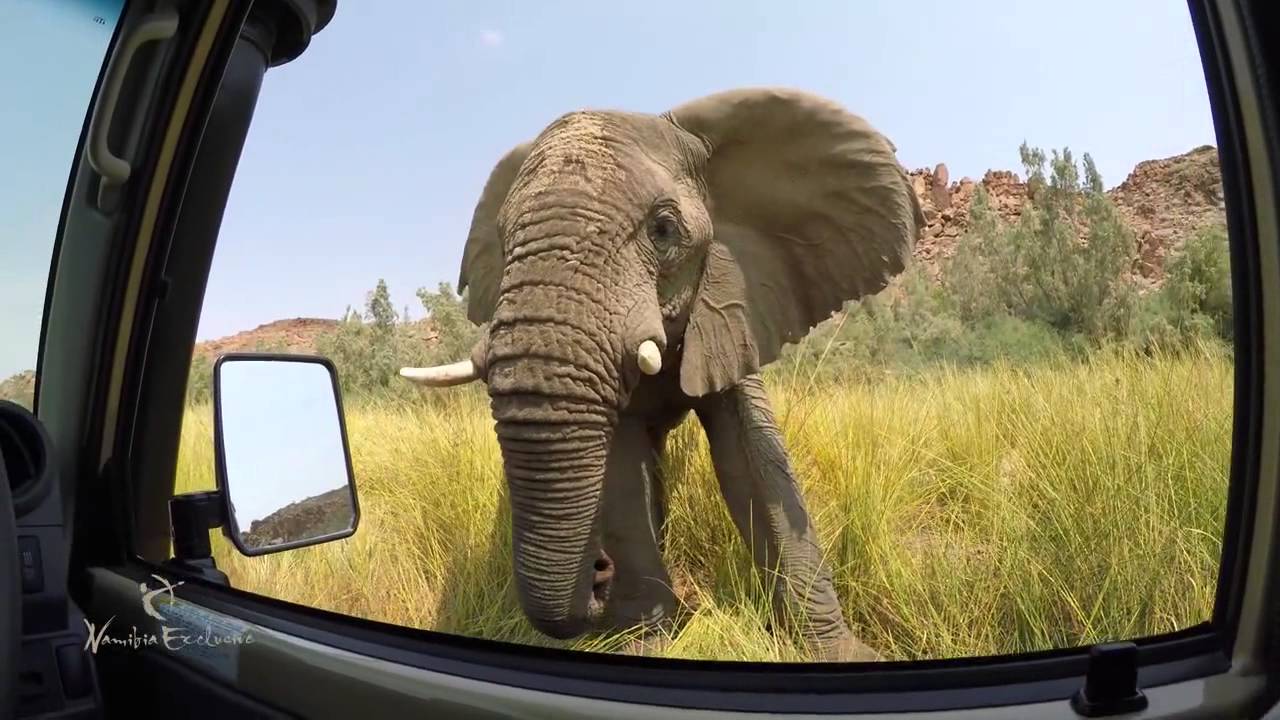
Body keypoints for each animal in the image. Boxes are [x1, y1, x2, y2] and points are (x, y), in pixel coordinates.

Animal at [400, 87, 925, 662]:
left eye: (664, 230)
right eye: (503, 239)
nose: (597, 573)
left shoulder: (734, 298)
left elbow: (752, 457)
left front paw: (843, 655)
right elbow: (626, 468)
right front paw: (648, 643)